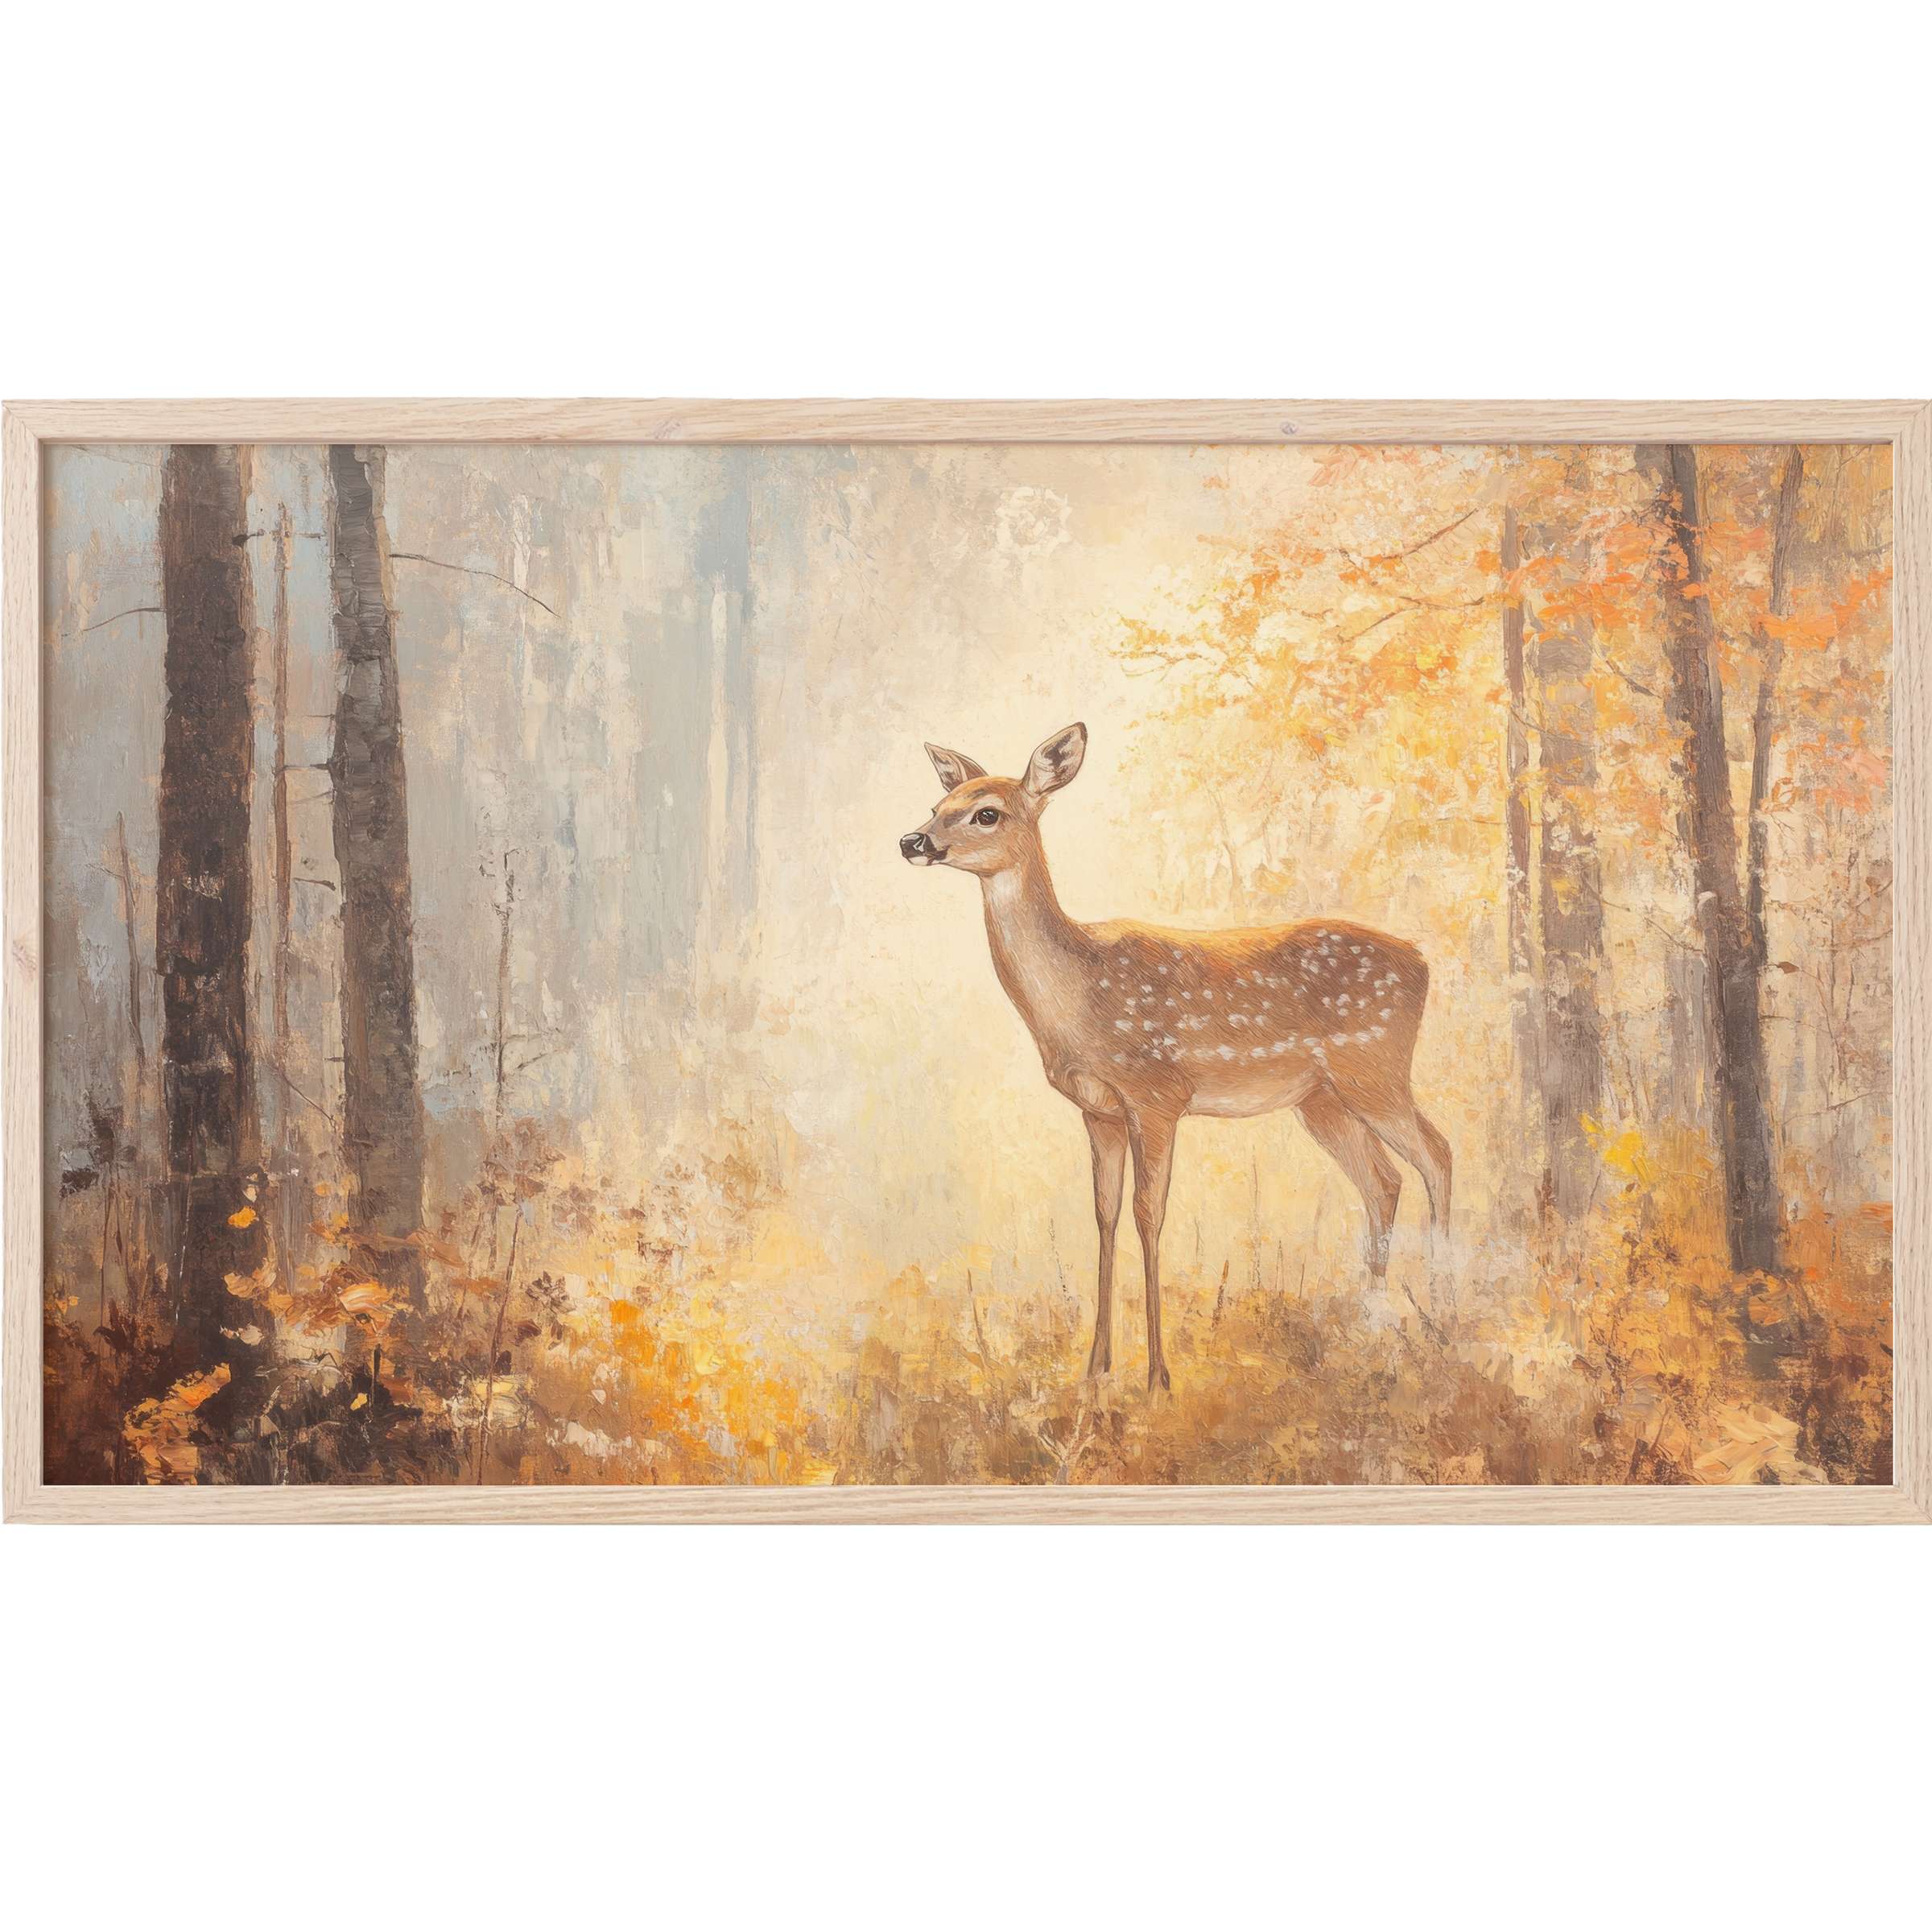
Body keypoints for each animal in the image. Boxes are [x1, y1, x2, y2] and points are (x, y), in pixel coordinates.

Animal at [900, 723, 1451, 1393]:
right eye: (937, 805)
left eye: (987, 813)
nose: (912, 840)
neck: (1075, 1000)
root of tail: (1422, 961)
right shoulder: (1099, 1110)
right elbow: (1104, 1215)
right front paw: (1097, 1368)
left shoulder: (1157, 1094)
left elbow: (1149, 1215)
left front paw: (1158, 1376)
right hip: (1321, 1100)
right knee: (1383, 1179)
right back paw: (1373, 1323)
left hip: (1374, 1067)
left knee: (1437, 1154)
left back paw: (1446, 1312)